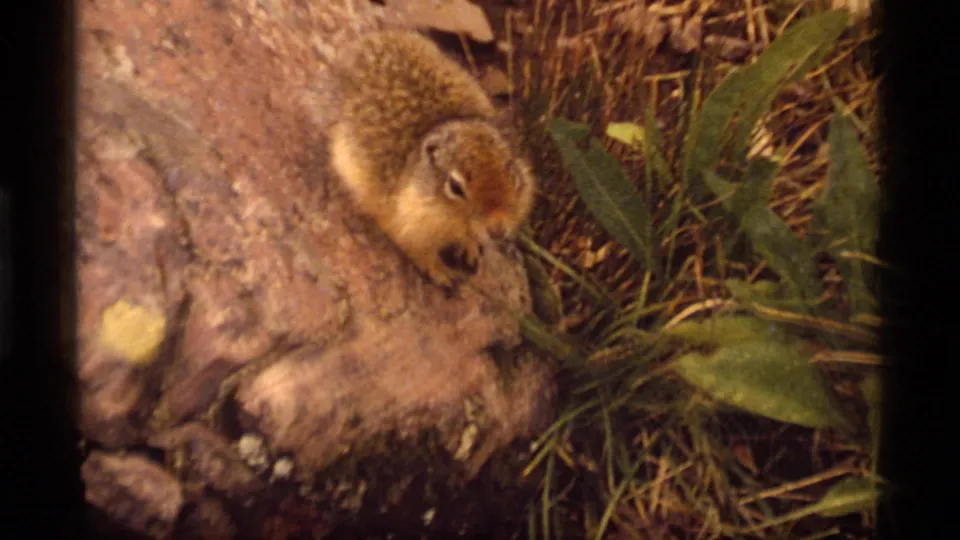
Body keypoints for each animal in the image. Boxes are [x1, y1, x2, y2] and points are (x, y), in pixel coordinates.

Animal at [319, 29, 536, 293]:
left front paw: (471, 250)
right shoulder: (406, 224)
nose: (497, 230)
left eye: (512, 173)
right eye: (455, 186)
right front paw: (443, 274)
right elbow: (420, 251)